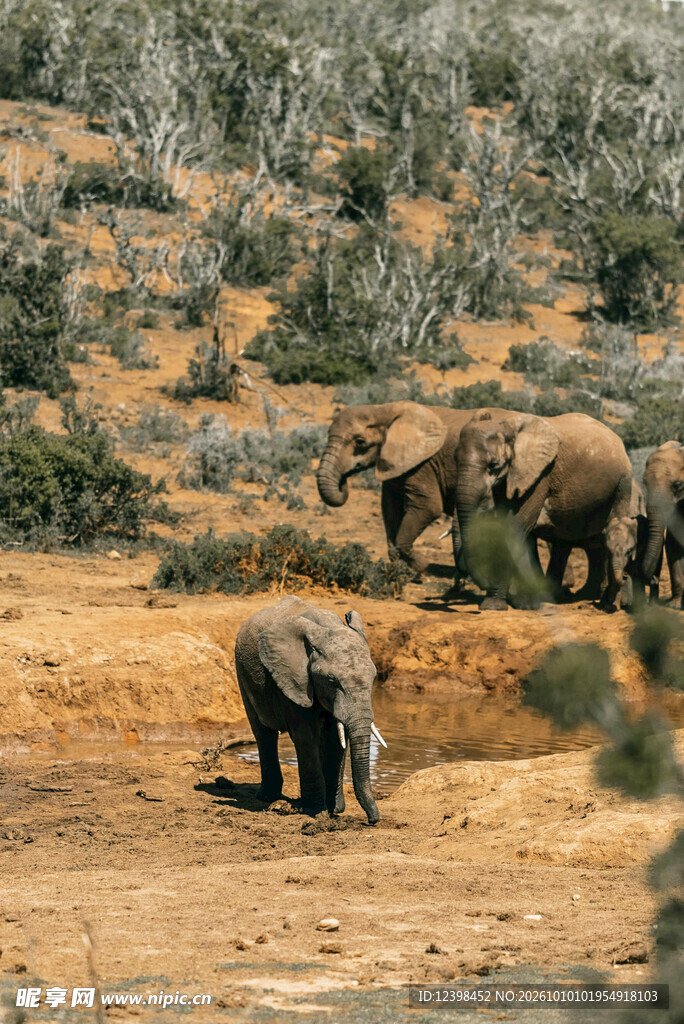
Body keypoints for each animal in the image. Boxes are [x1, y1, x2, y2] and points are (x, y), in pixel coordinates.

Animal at [234, 596, 385, 824]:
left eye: (374, 678)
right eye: (331, 681)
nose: (372, 820)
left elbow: (336, 739)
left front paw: (335, 809)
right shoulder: (294, 679)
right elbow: (305, 737)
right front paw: (316, 810)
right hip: (242, 673)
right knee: (263, 733)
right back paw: (268, 797)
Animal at [316, 401, 513, 575]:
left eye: (360, 442)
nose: (343, 479)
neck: (384, 409)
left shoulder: (423, 464)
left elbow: (428, 508)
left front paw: (421, 568)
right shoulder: (396, 465)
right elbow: (390, 509)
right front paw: (401, 571)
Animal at [454, 411, 635, 611]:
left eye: (493, 465)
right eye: (454, 459)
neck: (507, 425)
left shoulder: (539, 477)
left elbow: (513, 527)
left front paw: (493, 606)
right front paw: (526, 602)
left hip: (623, 483)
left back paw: (608, 604)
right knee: (563, 541)